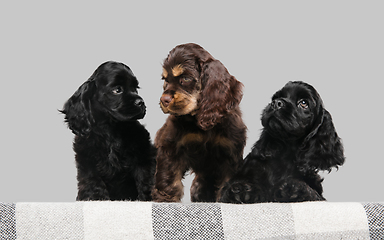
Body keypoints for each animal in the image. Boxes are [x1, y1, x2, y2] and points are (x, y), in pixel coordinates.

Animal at [60, 60, 155, 201]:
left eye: (135, 88)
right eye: (117, 90)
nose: (141, 102)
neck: (111, 130)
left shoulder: (144, 156)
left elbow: (145, 183)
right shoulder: (88, 163)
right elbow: (94, 186)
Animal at [152, 43, 246, 202]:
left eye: (186, 78)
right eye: (166, 80)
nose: (164, 100)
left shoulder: (230, 155)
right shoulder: (171, 148)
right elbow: (169, 182)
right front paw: (166, 201)